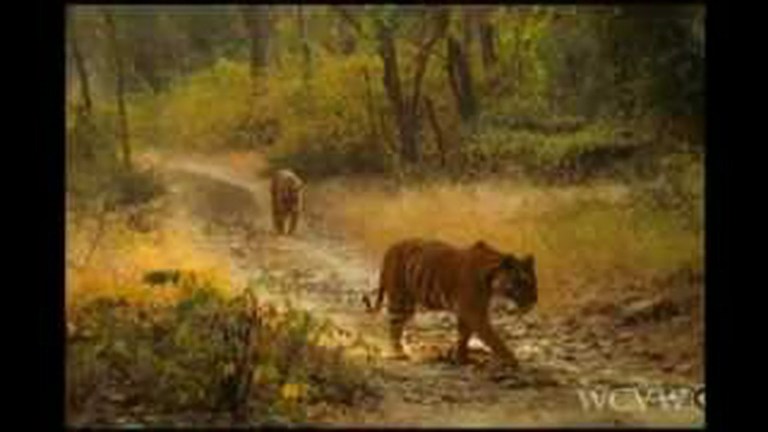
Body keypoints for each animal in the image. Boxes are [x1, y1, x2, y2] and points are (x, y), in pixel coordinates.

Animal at [363, 238, 537, 367]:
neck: (492, 281)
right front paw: (512, 360)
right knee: (394, 327)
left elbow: (464, 335)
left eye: (534, 282)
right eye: (522, 282)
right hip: (400, 299)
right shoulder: (475, 312)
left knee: (399, 326)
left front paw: (461, 359)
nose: (535, 299)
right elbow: (493, 338)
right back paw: (399, 353)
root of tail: (390, 248)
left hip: (408, 304)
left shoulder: (466, 312)